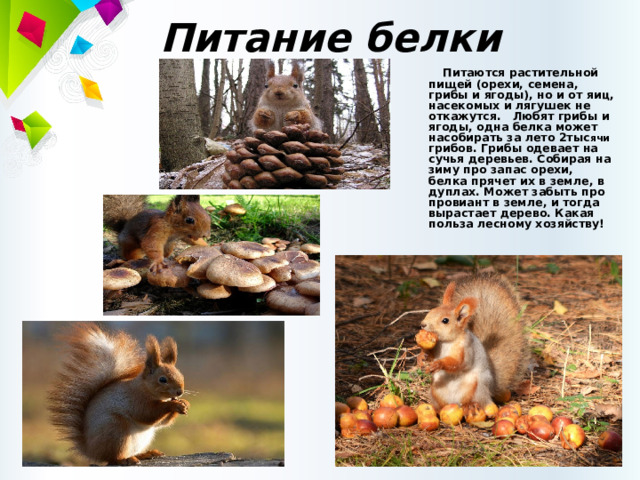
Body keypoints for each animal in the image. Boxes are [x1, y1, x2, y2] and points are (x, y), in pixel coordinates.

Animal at [48, 323, 190, 465]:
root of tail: (90, 449)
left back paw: (146, 454)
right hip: (116, 429)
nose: (180, 392)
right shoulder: (135, 399)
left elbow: (163, 423)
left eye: (181, 375)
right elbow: (148, 414)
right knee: (112, 458)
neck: (144, 388)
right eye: (162, 379)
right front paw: (173, 405)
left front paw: (184, 403)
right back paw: (126, 459)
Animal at [417, 273, 529, 411]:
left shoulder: (466, 348)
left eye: (445, 320)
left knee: (478, 401)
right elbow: (431, 355)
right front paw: (422, 356)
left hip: (476, 387)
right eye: (431, 311)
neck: (447, 342)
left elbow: (459, 362)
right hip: (436, 390)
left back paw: (470, 405)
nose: (423, 324)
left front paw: (439, 364)